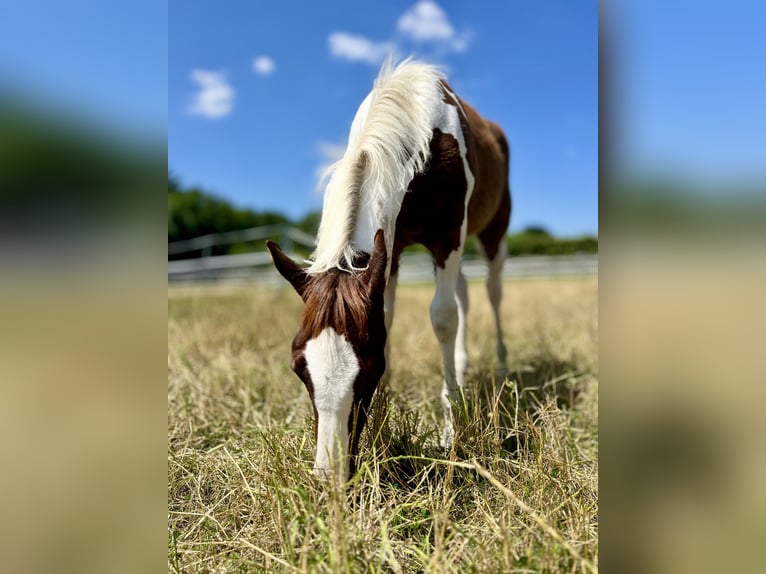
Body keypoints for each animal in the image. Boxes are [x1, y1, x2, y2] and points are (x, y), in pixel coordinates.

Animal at [266, 59, 511, 481]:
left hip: (492, 230)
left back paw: (499, 366)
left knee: (492, 292)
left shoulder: (449, 236)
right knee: (464, 293)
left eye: (367, 371)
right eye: (299, 368)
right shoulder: (390, 249)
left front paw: (449, 432)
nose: (329, 475)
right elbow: (389, 314)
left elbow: (442, 317)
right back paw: (462, 369)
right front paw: (385, 415)